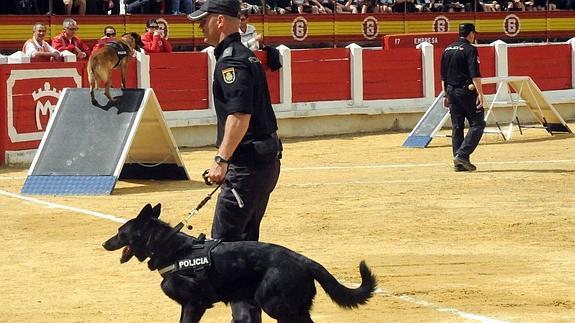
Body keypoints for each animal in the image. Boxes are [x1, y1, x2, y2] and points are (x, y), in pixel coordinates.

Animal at [102, 205, 378, 323]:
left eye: (120, 232)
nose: (104, 244)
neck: (169, 247)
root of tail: (304, 260)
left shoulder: (194, 304)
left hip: (277, 307)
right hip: (291, 309)